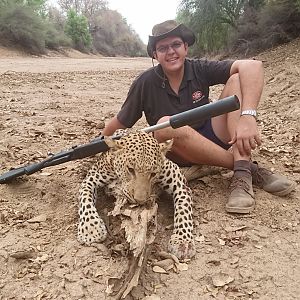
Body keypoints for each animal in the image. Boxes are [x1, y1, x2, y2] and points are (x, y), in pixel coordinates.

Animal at [77, 131, 195, 260]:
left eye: (153, 174)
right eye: (130, 169)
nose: (139, 200)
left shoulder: (178, 180)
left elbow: (184, 207)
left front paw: (182, 241)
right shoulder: (91, 179)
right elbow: (85, 198)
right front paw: (91, 229)